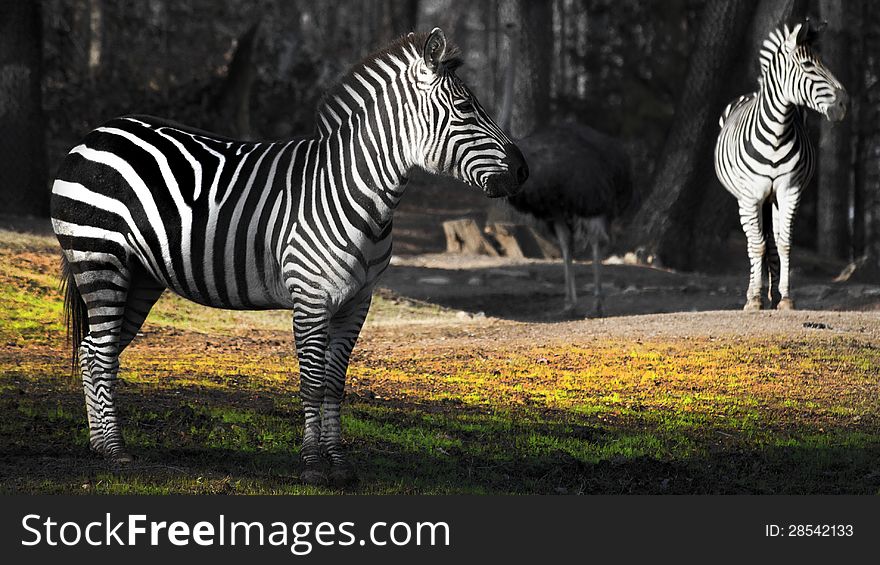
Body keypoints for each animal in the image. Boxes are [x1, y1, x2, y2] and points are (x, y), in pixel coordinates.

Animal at [51, 30, 528, 486]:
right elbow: (313, 382)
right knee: (97, 351)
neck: (359, 191)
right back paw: (114, 450)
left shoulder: (358, 301)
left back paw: (101, 445)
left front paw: (340, 464)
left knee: (97, 351)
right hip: (100, 259)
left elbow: (335, 383)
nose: (523, 172)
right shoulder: (311, 297)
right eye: (464, 107)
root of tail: (98, 132)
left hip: (140, 276)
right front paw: (313, 465)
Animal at [716, 22, 844, 310]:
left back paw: (773, 293)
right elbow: (756, 245)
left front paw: (784, 296)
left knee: (773, 241)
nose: (844, 104)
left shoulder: (789, 190)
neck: (776, 132)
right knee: (755, 241)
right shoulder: (751, 195)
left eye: (824, 62)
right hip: (747, 199)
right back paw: (755, 293)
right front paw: (754, 299)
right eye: (808, 65)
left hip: (772, 198)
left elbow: (784, 244)